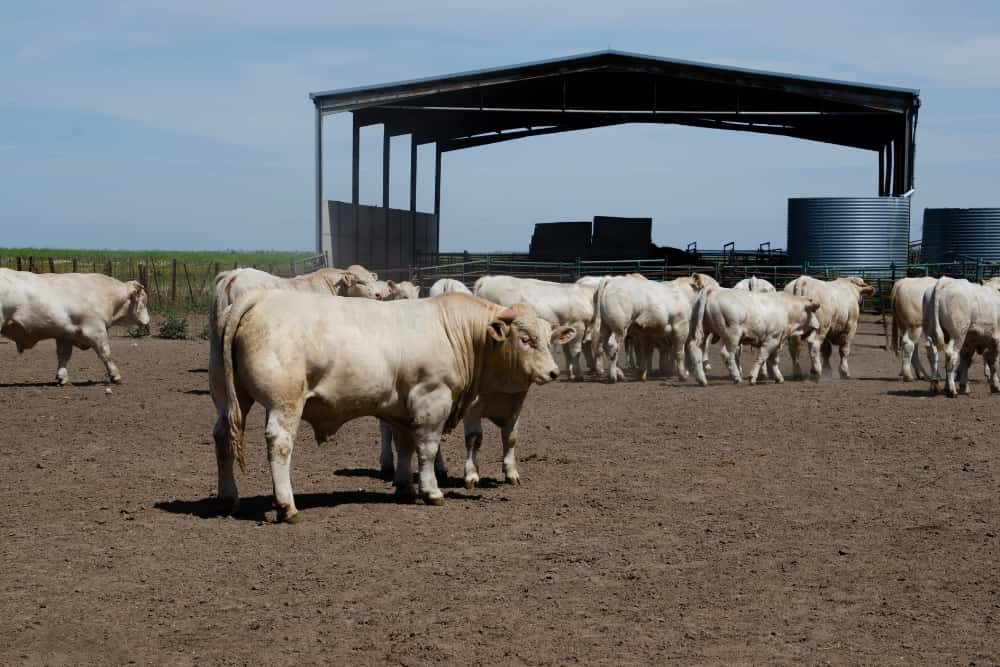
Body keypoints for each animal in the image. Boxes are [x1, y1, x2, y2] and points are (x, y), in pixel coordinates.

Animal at [0, 269, 149, 384]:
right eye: (143, 301)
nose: (148, 320)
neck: (104, 295)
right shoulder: (96, 330)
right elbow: (105, 353)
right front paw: (115, 376)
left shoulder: (65, 335)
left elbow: (63, 356)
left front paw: (62, 377)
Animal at [216, 292, 574, 521]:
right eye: (526, 339)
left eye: (549, 338)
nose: (553, 372)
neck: (458, 332)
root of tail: (260, 296)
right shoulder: (433, 399)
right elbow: (427, 449)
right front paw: (431, 491)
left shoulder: (402, 409)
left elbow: (405, 447)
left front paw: (404, 487)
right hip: (284, 402)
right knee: (280, 444)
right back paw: (286, 506)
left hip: (230, 399)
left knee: (221, 438)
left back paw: (228, 498)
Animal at [687, 287, 821, 385]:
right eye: (813, 311)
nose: (818, 326)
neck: (787, 309)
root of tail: (713, 290)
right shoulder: (771, 339)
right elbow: (762, 357)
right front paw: (752, 377)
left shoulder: (777, 340)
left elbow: (773, 360)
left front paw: (778, 377)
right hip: (732, 335)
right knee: (727, 354)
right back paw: (736, 377)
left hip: (703, 332)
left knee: (695, 349)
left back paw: (702, 380)